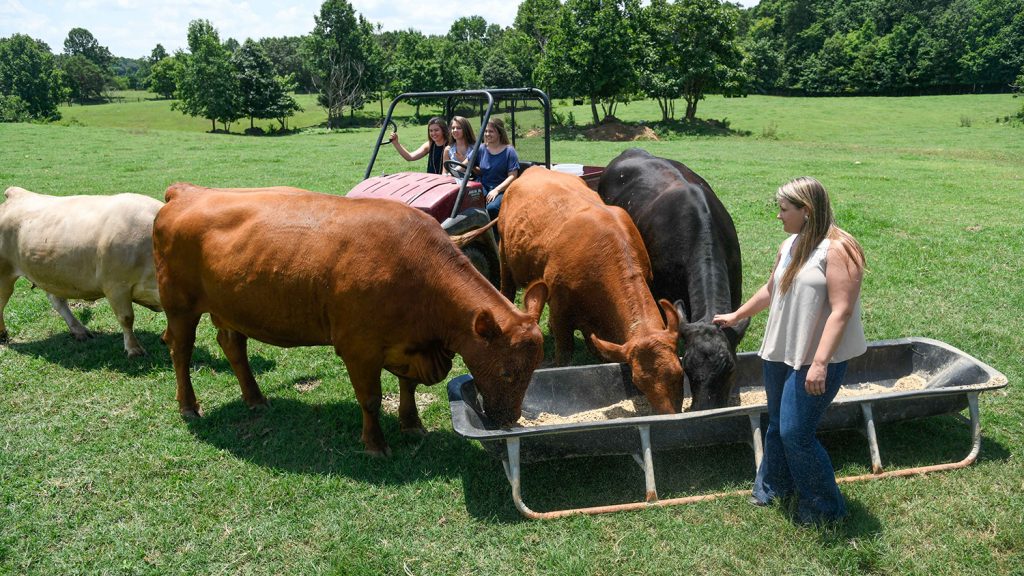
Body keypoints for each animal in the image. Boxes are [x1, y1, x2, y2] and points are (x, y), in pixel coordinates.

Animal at [0, 184, 162, 354]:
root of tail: (17, 193)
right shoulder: (116, 286)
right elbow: (126, 318)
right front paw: (134, 349)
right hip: (4, 271)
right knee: (2, 300)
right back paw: (3, 334)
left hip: (52, 274)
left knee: (57, 301)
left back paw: (79, 330)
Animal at [152, 182, 548, 453]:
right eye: (506, 372)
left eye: (533, 370)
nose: (509, 421)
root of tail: (188, 192)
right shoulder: (360, 349)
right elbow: (370, 398)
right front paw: (375, 444)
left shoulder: (409, 343)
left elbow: (408, 387)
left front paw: (412, 425)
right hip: (180, 307)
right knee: (180, 351)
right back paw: (189, 407)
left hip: (230, 308)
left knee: (233, 346)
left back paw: (255, 398)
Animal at [497, 166, 688, 412]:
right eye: (638, 382)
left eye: (680, 373)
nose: (668, 415)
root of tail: (534, 168)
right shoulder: (560, 309)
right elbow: (564, 353)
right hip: (504, 256)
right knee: (507, 289)